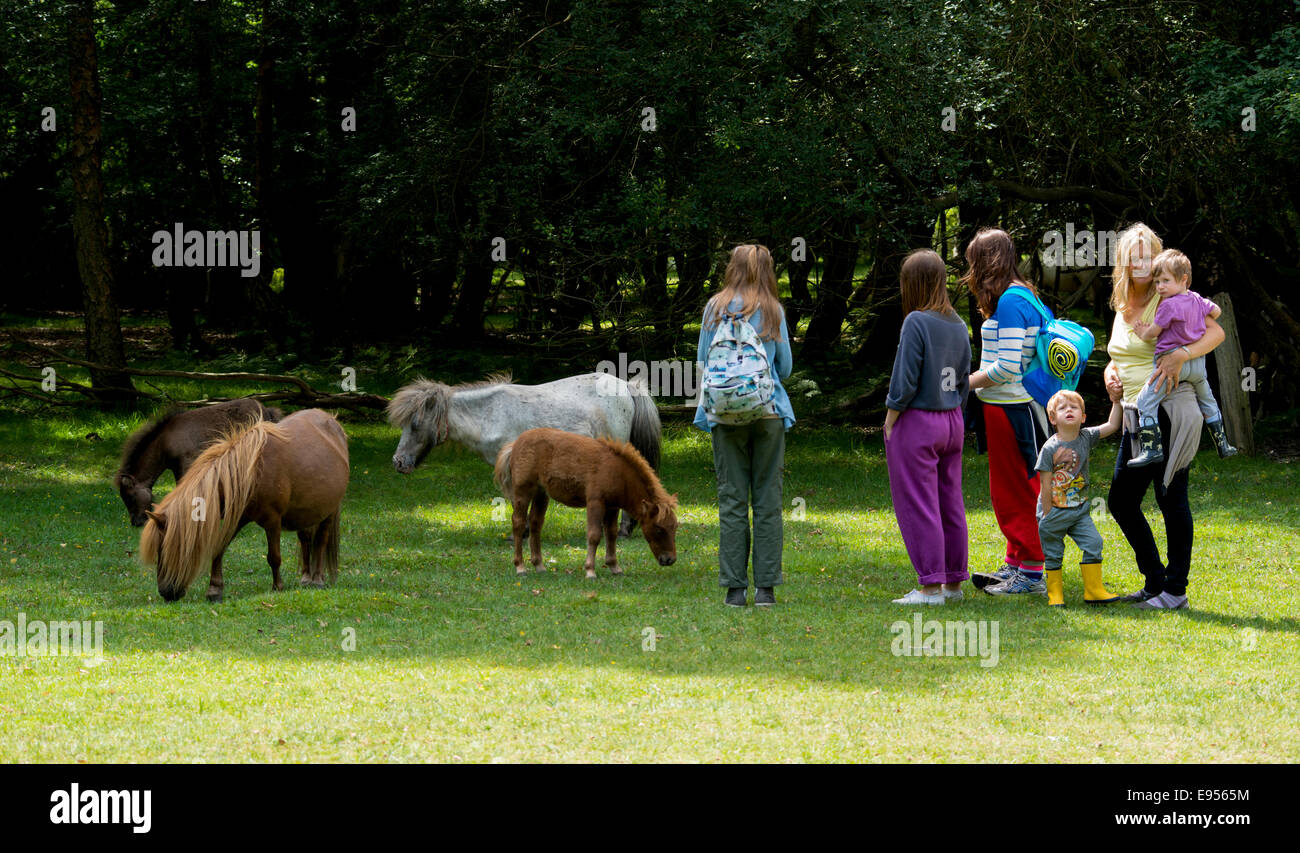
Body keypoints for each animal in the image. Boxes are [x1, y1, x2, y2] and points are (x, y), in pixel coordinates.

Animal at [139, 405, 348, 600]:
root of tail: (332, 421)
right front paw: (214, 590)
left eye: (165, 549)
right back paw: (305, 578)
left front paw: (277, 587)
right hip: (305, 513)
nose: (165, 592)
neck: (250, 473)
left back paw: (317, 579)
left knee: (320, 541)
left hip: (329, 512)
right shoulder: (238, 518)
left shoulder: (273, 521)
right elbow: (218, 548)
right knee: (305, 539)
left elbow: (274, 557)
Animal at [491, 426, 681, 579]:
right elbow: (594, 535)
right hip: (523, 491)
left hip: (541, 494)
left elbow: (611, 534)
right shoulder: (595, 502)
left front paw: (614, 567)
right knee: (518, 523)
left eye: (674, 527)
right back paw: (520, 567)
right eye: (658, 528)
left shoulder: (612, 507)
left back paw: (539, 565)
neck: (617, 472)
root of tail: (515, 444)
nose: (670, 559)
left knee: (536, 524)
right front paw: (590, 571)